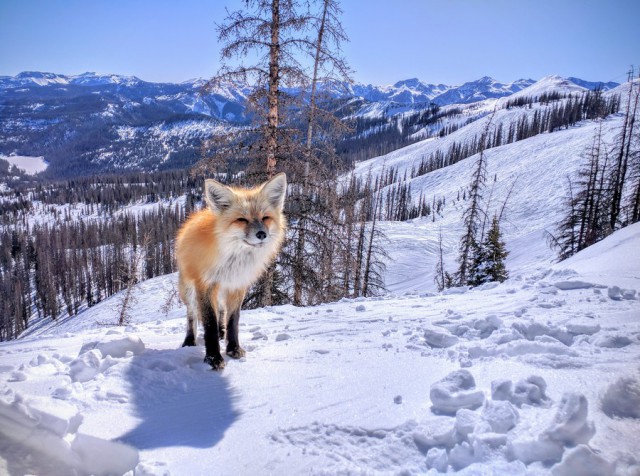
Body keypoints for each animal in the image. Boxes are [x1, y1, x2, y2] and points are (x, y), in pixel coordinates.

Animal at [174, 173, 286, 370]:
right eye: (242, 220)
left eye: (265, 218)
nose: (262, 234)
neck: (233, 260)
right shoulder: (205, 285)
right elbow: (209, 324)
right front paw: (213, 358)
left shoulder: (237, 285)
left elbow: (233, 321)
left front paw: (233, 348)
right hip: (189, 290)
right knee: (192, 315)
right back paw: (190, 340)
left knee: (220, 311)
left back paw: (221, 332)